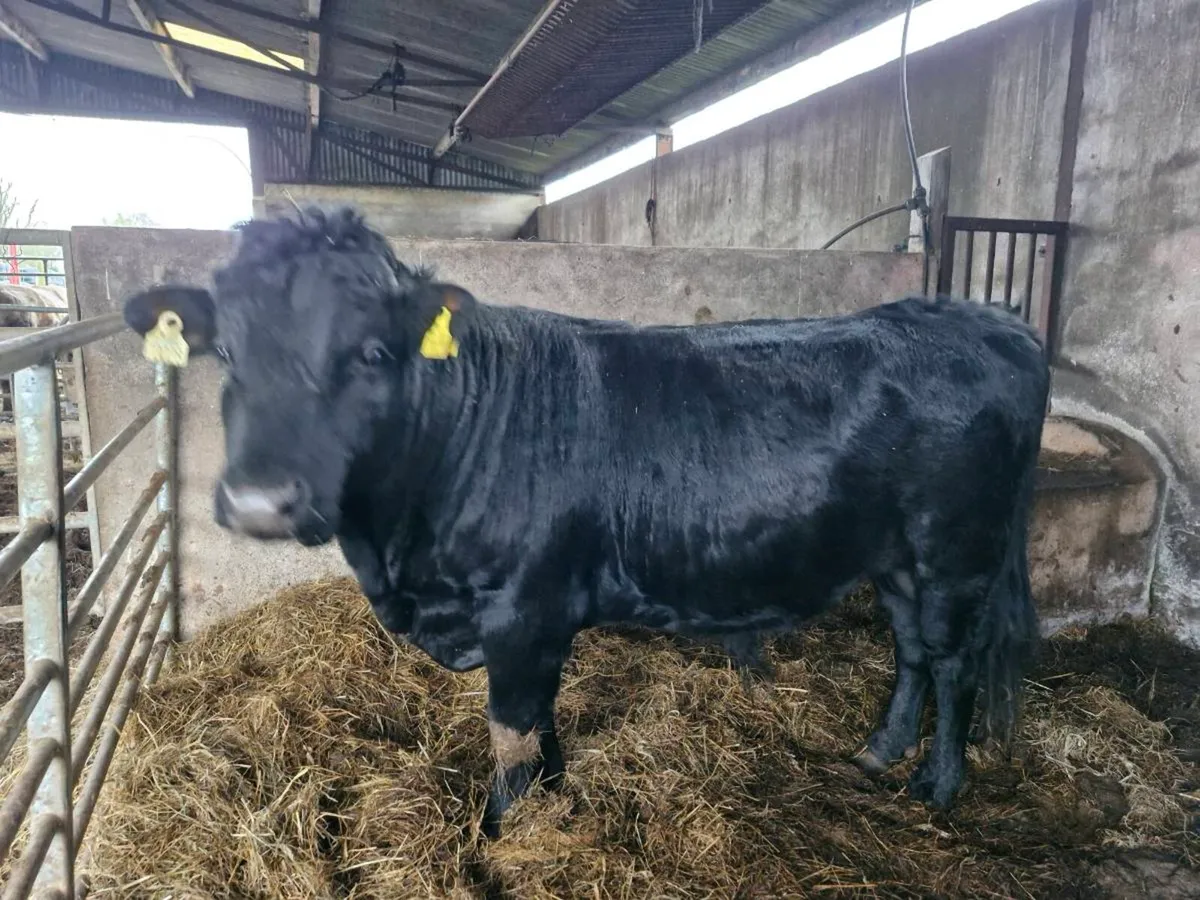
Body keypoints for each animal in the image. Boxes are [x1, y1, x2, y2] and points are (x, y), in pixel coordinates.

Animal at [121, 208, 1049, 838]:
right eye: (225, 352)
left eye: (372, 352)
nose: (260, 502)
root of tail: (985, 318)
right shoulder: (535, 617)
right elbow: (538, 720)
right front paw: (553, 790)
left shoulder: (521, 606)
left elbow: (509, 728)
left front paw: (502, 830)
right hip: (894, 557)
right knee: (913, 650)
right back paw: (878, 752)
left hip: (955, 549)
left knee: (954, 661)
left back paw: (937, 786)